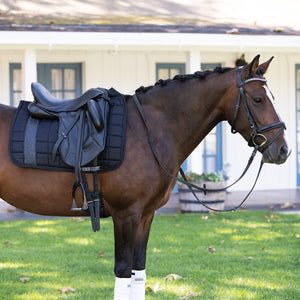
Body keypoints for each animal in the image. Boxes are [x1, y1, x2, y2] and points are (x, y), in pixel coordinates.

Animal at [0, 55, 290, 298]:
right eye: (258, 99)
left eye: (274, 97)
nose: (283, 150)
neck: (149, 130)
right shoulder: (126, 214)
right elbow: (123, 272)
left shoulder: (146, 215)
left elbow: (138, 271)